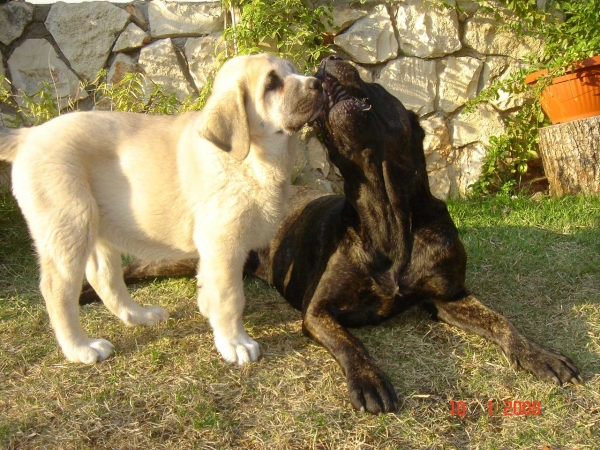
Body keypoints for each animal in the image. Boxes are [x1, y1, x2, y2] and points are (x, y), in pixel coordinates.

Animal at [0, 54, 324, 366]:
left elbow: (210, 286)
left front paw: (210, 313)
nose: (318, 83)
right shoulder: (224, 243)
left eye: (292, 70)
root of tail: (28, 136)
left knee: (104, 277)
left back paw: (139, 316)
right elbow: (230, 296)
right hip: (69, 225)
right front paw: (235, 343)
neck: (248, 159)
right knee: (57, 291)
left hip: (98, 227)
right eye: (272, 84)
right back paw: (80, 348)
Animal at [79, 57, 580, 414]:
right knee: (130, 270)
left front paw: (541, 355)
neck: (386, 212)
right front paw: (370, 380)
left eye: (377, 84)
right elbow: (350, 344)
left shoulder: (449, 295)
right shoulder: (318, 311)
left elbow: (502, 321)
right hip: (179, 256)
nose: (325, 60)